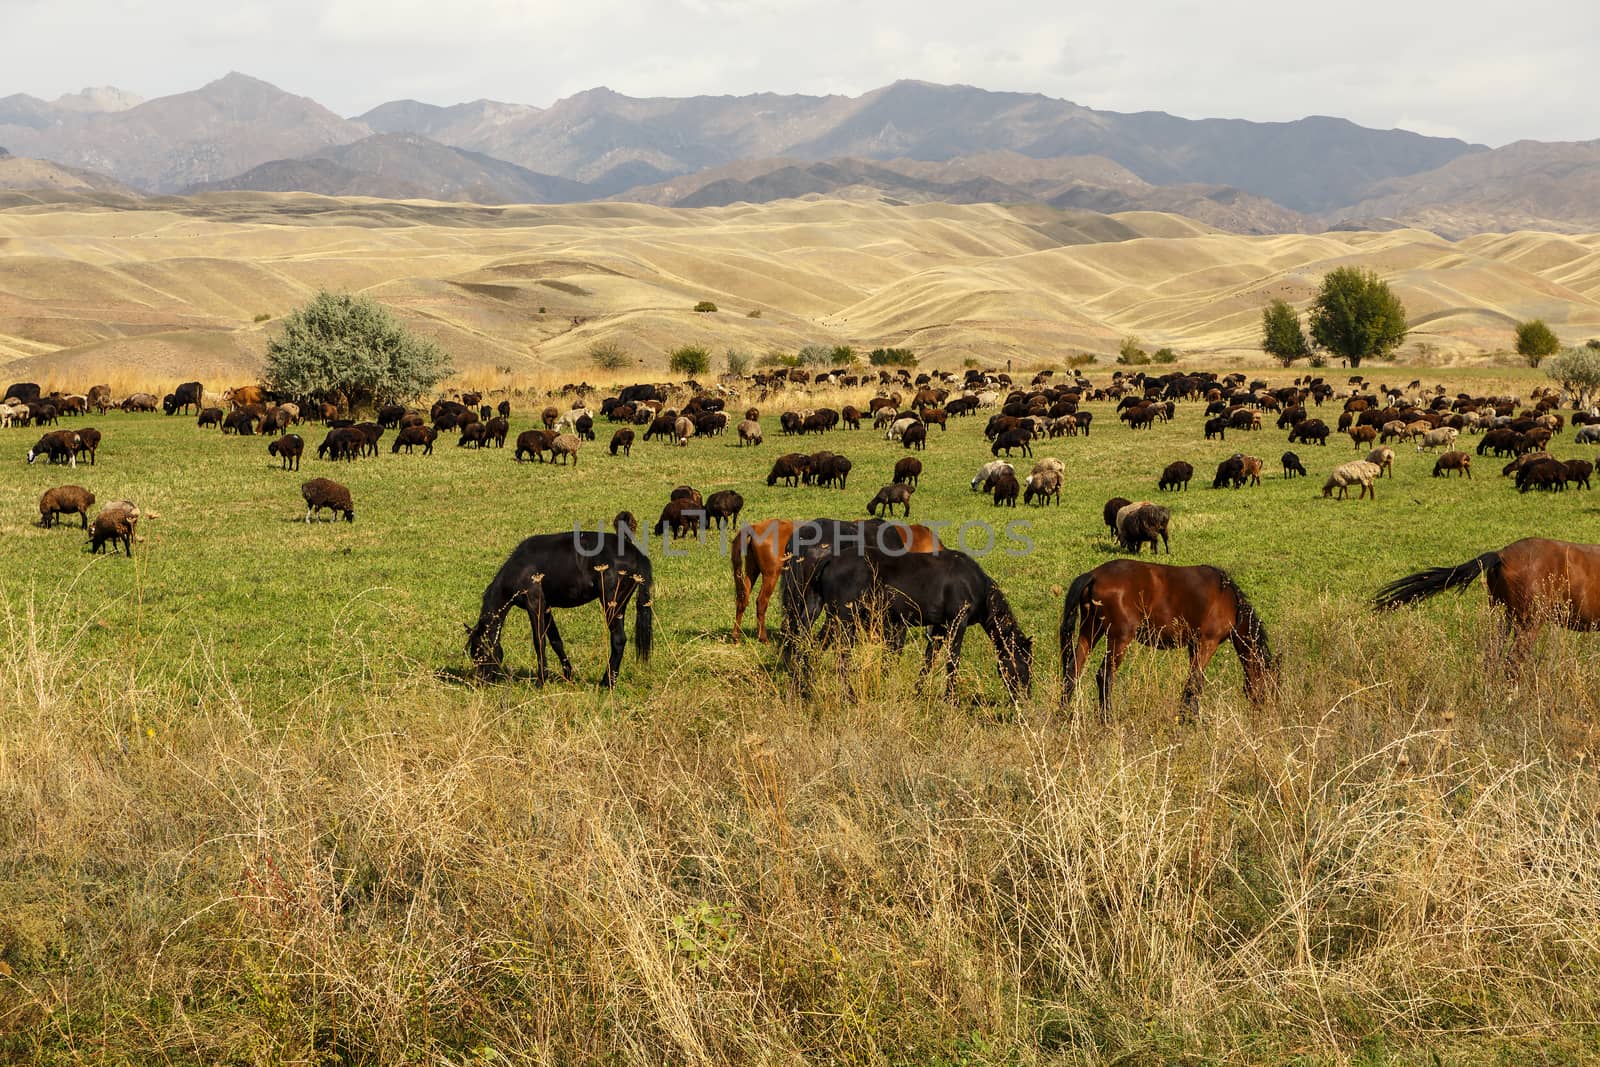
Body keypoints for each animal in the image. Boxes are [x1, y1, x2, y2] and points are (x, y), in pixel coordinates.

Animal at [467, 515, 652, 684]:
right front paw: (567, 674)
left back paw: (607, 682)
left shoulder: (535, 606)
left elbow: (539, 642)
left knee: (618, 640)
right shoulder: (546, 608)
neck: (520, 568)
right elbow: (556, 641)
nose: (479, 682)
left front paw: (541, 680)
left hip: (611, 604)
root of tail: (635, 552)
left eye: (479, 652)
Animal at [732, 518, 940, 643]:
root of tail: (755, 528)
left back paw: (736, 636)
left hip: (752, 572)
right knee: (762, 602)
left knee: (743, 599)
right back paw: (764, 637)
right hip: (771, 575)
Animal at [780, 537, 1030, 703]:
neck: (974, 584)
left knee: (812, 649)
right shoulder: (956, 625)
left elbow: (929, 661)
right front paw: (950, 699)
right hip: (845, 620)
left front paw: (918, 692)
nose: (1025, 697)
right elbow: (952, 662)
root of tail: (830, 559)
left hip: (830, 618)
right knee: (841, 658)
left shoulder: (939, 629)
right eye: (1024, 663)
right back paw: (846, 695)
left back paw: (804, 688)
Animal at [1062, 559, 1273, 726]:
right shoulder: (1207, 643)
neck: (1229, 599)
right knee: (1104, 675)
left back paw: (1062, 715)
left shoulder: (1194, 645)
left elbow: (1193, 681)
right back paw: (1107, 720)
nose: (1267, 711)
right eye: (1271, 684)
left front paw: (1190, 717)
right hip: (1118, 639)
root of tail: (1094, 575)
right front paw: (1190, 721)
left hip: (1090, 630)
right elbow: (1195, 682)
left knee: (1073, 670)